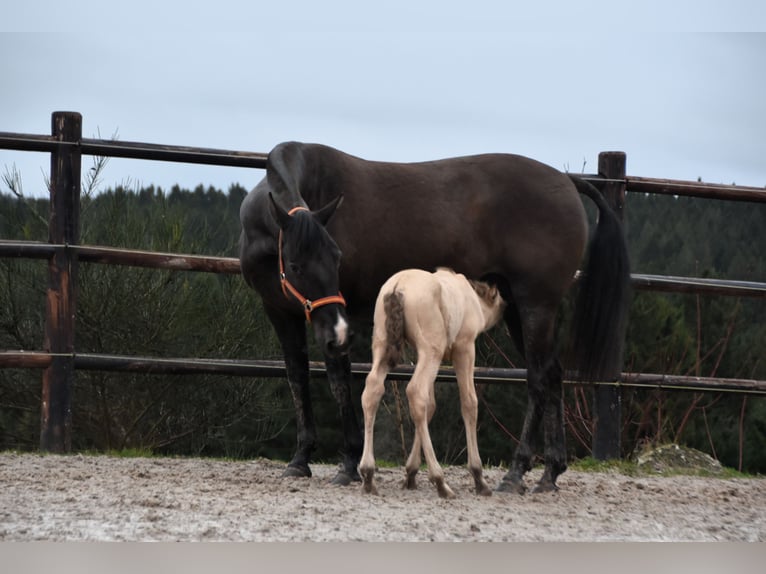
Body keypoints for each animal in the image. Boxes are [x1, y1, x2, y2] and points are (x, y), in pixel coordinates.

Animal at [362, 270, 510, 500]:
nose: (505, 309)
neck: (472, 299)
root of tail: (397, 288)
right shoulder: (464, 348)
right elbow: (469, 403)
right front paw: (479, 478)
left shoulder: (422, 354)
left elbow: (430, 406)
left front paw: (411, 473)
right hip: (433, 349)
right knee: (415, 391)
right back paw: (440, 481)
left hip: (384, 344)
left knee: (374, 390)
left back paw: (368, 474)